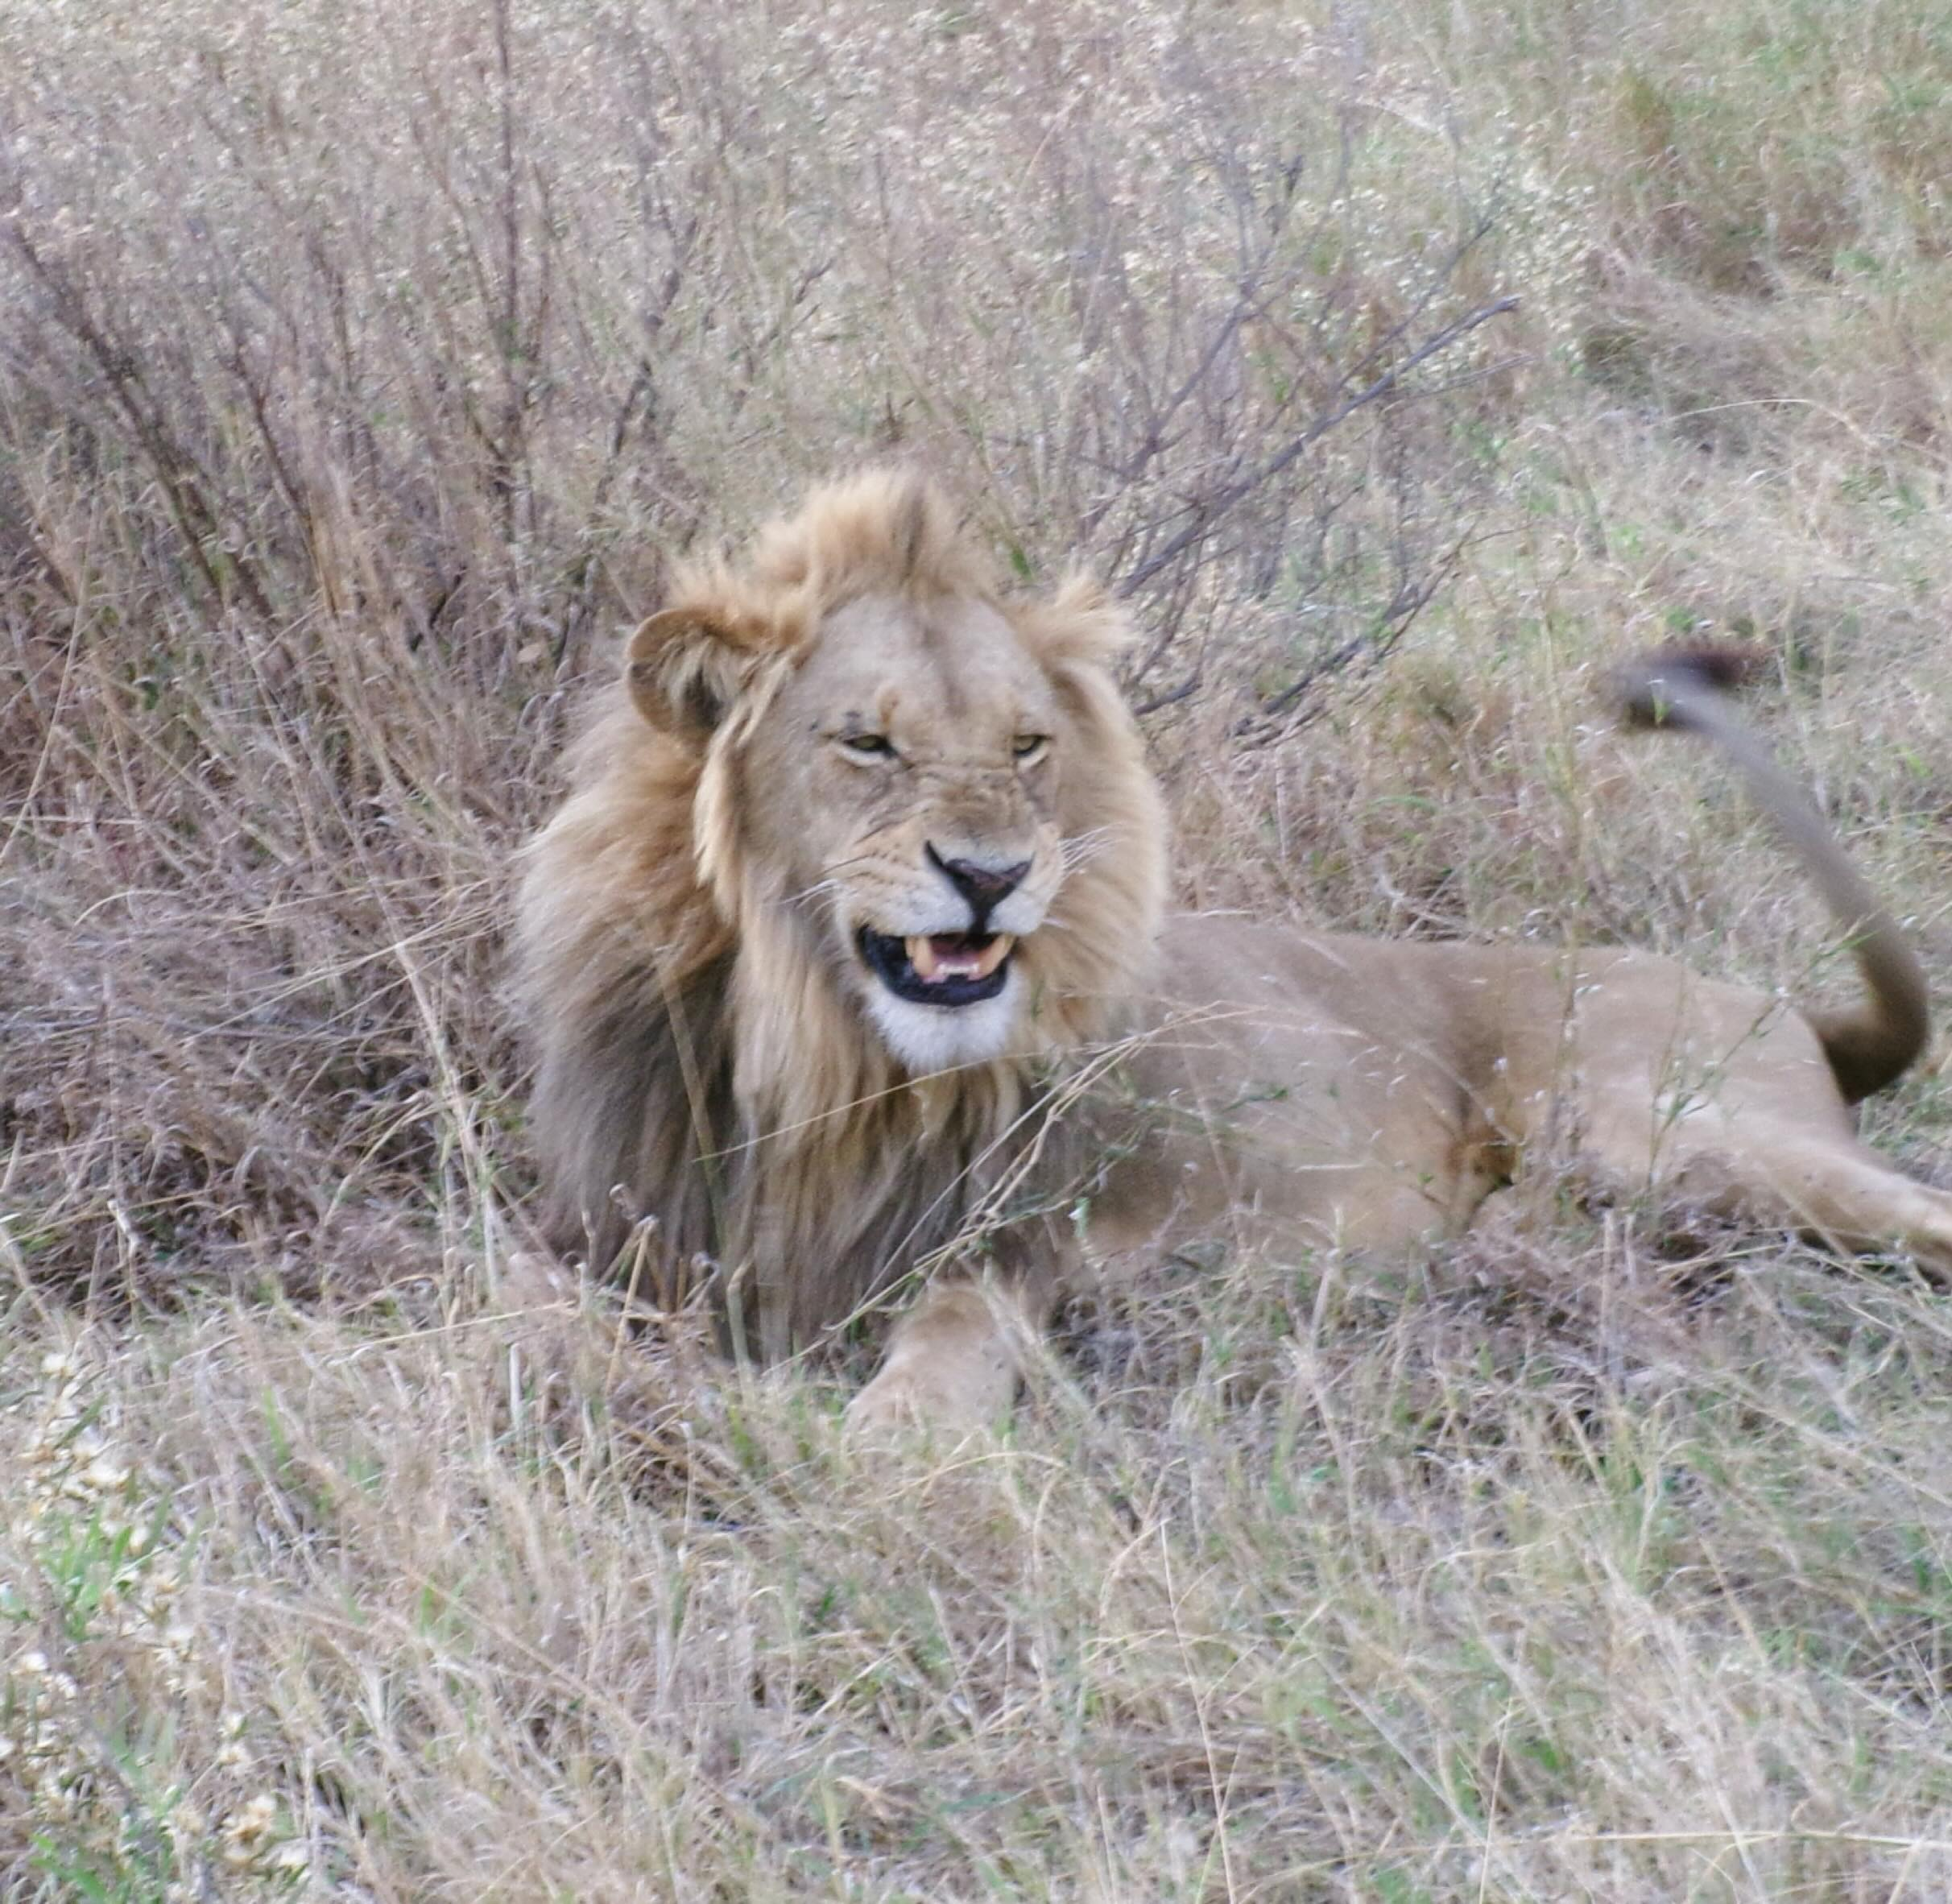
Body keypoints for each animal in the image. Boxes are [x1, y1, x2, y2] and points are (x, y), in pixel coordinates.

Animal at [516, 468, 1951, 1433]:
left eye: (1026, 747)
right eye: (867, 743)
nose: (990, 877)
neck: (818, 1054)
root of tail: (1794, 1013)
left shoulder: (1018, 1247)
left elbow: (943, 1349)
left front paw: (882, 1448)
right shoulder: (621, 1228)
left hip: (1661, 1128)